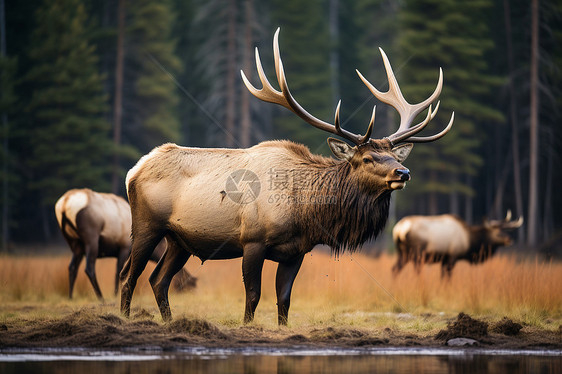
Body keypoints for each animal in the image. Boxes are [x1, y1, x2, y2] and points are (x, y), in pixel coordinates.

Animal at [54, 188, 195, 300]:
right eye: (188, 283)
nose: (188, 292)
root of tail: (64, 204)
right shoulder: (124, 247)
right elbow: (118, 271)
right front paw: (115, 294)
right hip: (91, 238)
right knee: (89, 268)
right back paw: (100, 297)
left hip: (75, 243)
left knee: (72, 267)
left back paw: (70, 296)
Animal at [120, 29, 452, 326]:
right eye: (367, 158)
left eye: (396, 157)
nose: (403, 172)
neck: (305, 210)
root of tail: (134, 170)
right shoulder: (252, 241)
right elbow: (253, 295)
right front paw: (247, 326)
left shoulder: (296, 252)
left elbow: (284, 300)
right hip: (147, 226)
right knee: (128, 275)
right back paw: (125, 318)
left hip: (180, 240)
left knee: (158, 280)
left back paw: (169, 321)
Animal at [392, 210, 524, 278]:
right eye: (498, 233)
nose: (509, 239)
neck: (469, 241)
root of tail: (399, 229)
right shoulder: (452, 256)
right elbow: (448, 276)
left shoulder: (444, 259)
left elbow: (443, 276)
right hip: (417, 253)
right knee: (417, 271)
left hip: (402, 252)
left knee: (395, 269)